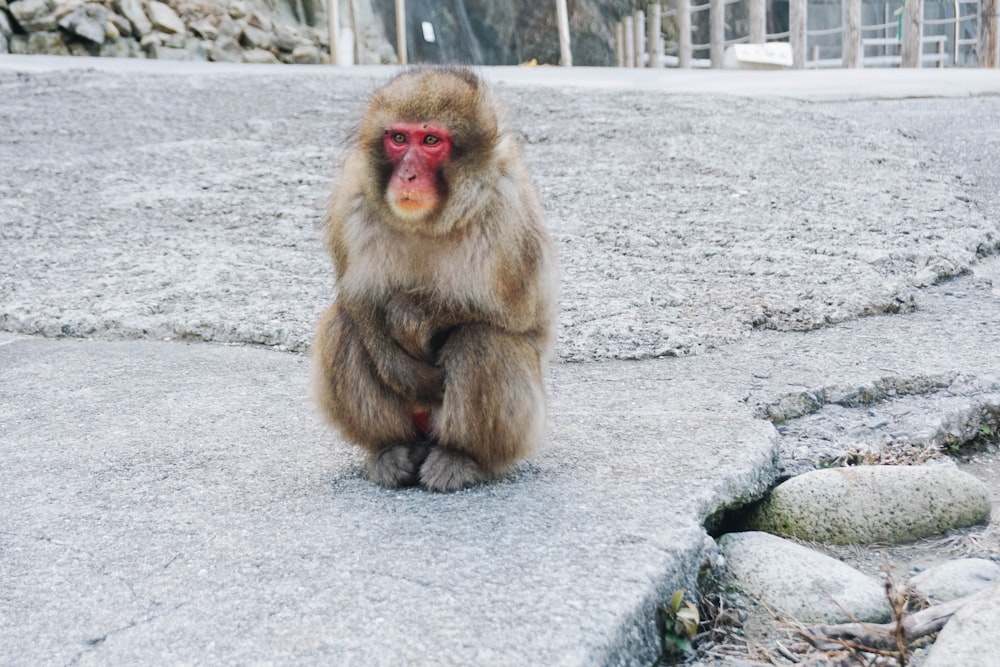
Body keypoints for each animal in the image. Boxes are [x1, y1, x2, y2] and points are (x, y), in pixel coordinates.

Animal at [312, 68, 560, 494]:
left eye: (431, 141)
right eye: (398, 138)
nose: (408, 175)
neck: (429, 222)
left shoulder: (509, 211)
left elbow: (521, 314)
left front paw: (412, 315)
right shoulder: (351, 196)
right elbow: (356, 300)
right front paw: (402, 368)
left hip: (524, 425)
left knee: (482, 339)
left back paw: (463, 457)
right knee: (340, 326)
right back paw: (391, 449)